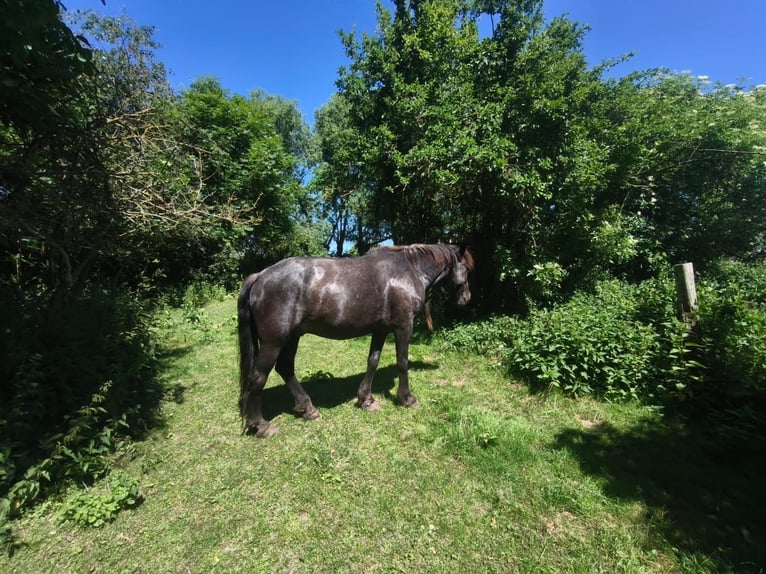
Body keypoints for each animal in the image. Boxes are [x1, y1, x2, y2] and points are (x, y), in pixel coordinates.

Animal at [237, 243, 474, 438]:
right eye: (466, 269)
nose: (466, 299)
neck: (409, 270)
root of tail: (260, 276)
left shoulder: (380, 329)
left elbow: (373, 361)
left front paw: (365, 400)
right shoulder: (403, 326)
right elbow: (402, 363)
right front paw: (407, 399)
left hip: (292, 337)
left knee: (285, 368)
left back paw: (308, 409)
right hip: (274, 342)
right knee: (258, 377)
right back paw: (261, 426)